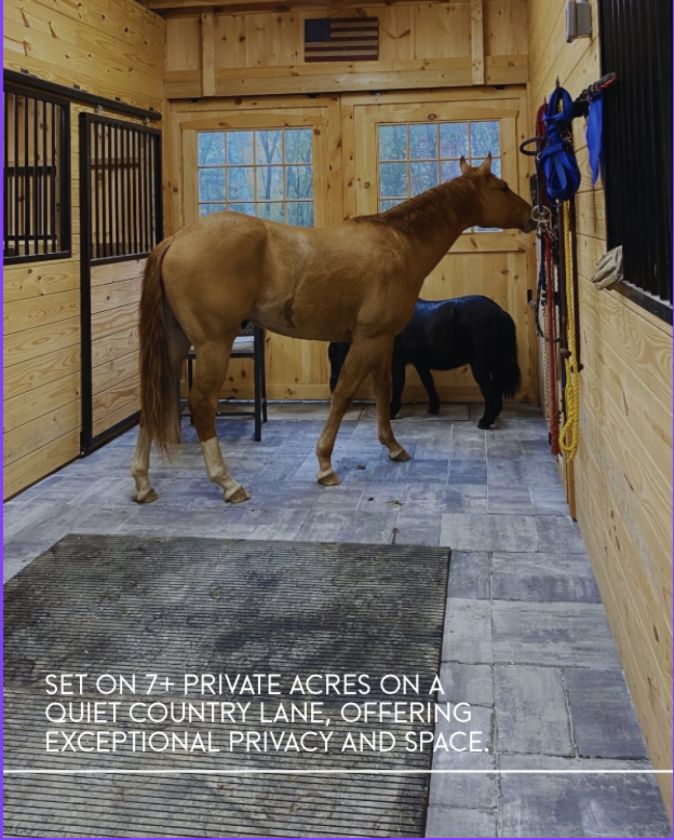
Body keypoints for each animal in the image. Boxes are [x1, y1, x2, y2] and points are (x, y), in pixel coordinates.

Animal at [328, 295, 521, 429]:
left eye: (336, 352)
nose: (333, 388)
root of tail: (499, 313)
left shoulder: (397, 361)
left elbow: (397, 384)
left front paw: (392, 411)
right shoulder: (420, 362)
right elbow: (428, 382)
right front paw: (433, 406)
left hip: (480, 364)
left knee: (488, 389)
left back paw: (486, 420)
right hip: (495, 363)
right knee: (497, 386)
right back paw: (494, 414)